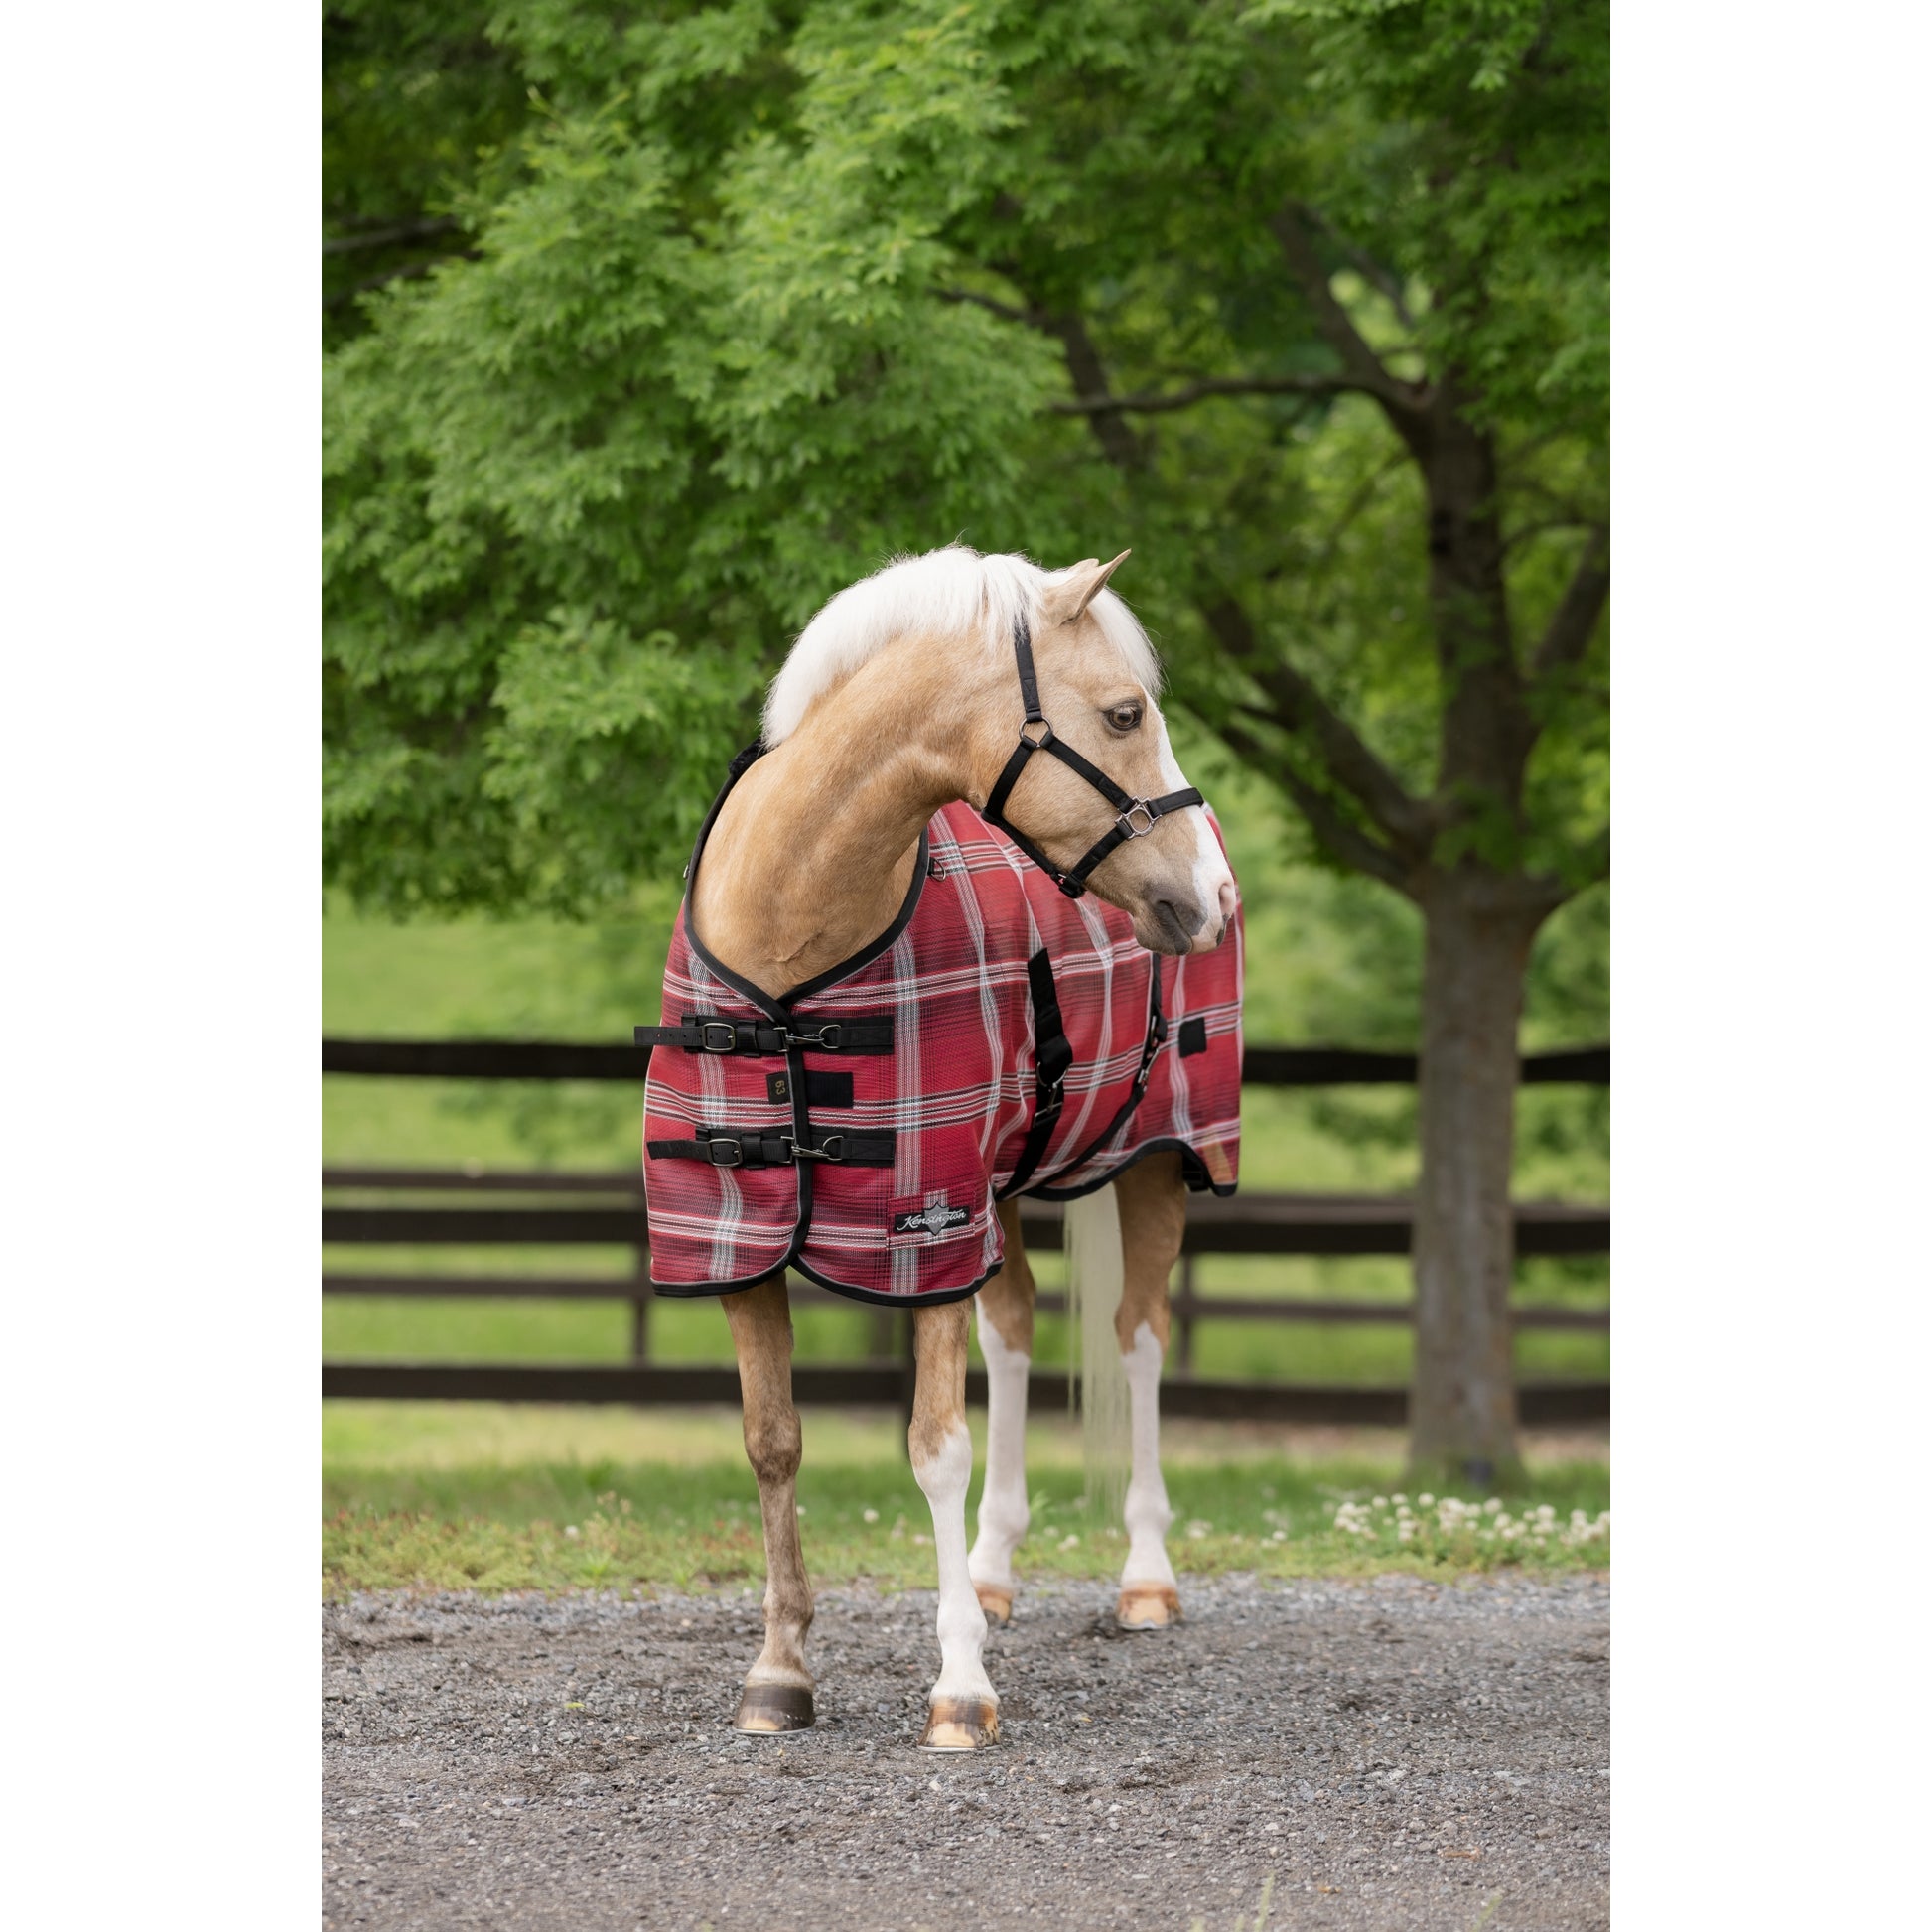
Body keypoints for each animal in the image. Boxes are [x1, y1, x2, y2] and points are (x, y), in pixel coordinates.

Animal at [640, 544, 1242, 1752]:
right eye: (1124, 712)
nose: (1213, 896)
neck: (792, 936)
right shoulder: (735, 1241)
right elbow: (773, 1439)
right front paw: (779, 1670)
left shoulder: (922, 1236)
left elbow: (933, 1447)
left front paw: (960, 1685)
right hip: (999, 1193)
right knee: (1012, 1334)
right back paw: (996, 1568)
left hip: (1158, 1158)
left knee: (1138, 1338)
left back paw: (1144, 1578)